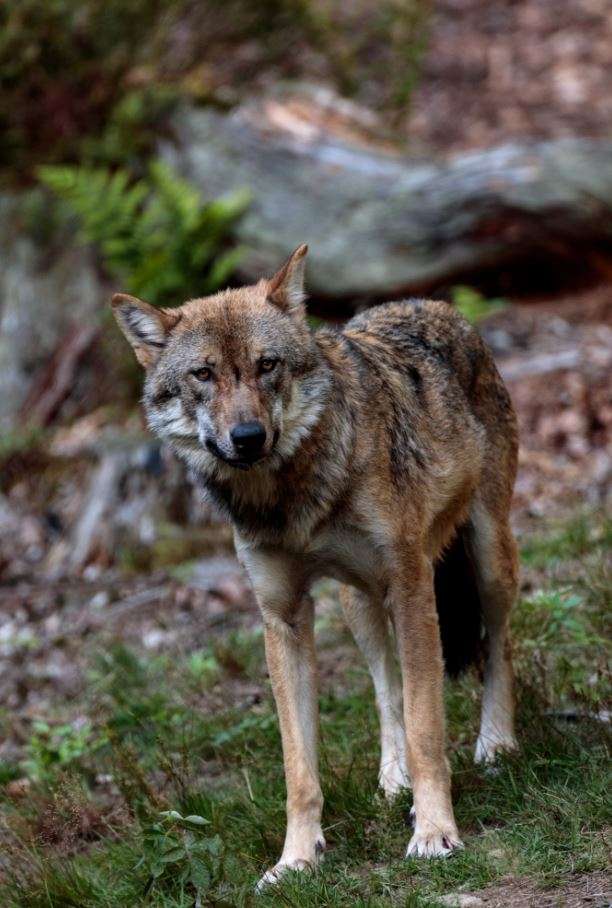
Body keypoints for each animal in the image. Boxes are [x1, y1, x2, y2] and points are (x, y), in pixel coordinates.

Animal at [112, 244, 519, 889]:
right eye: (203, 375)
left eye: (267, 365)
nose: (247, 436)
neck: (291, 497)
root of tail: (430, 303)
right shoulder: (282, 617)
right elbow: (299, 768)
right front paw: (296, 859)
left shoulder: (412, 589)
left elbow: (427, 727)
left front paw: (434, 831)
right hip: (359, 604)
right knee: (385, 687)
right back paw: (392, 781)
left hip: (486, 562)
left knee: (497, 644)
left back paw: (497, 746)